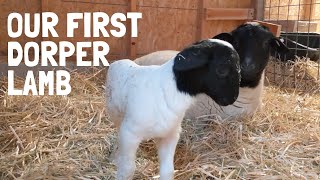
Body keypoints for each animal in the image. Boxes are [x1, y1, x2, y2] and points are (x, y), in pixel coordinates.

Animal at [106, 38, 241, 179]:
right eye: (222, 70)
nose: (232, 98)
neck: (171, 89)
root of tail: (120, 61)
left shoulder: (170, 135)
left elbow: (168, 170)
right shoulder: (129, 134)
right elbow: (128, 169)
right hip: (115, 113)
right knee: (117, 131)